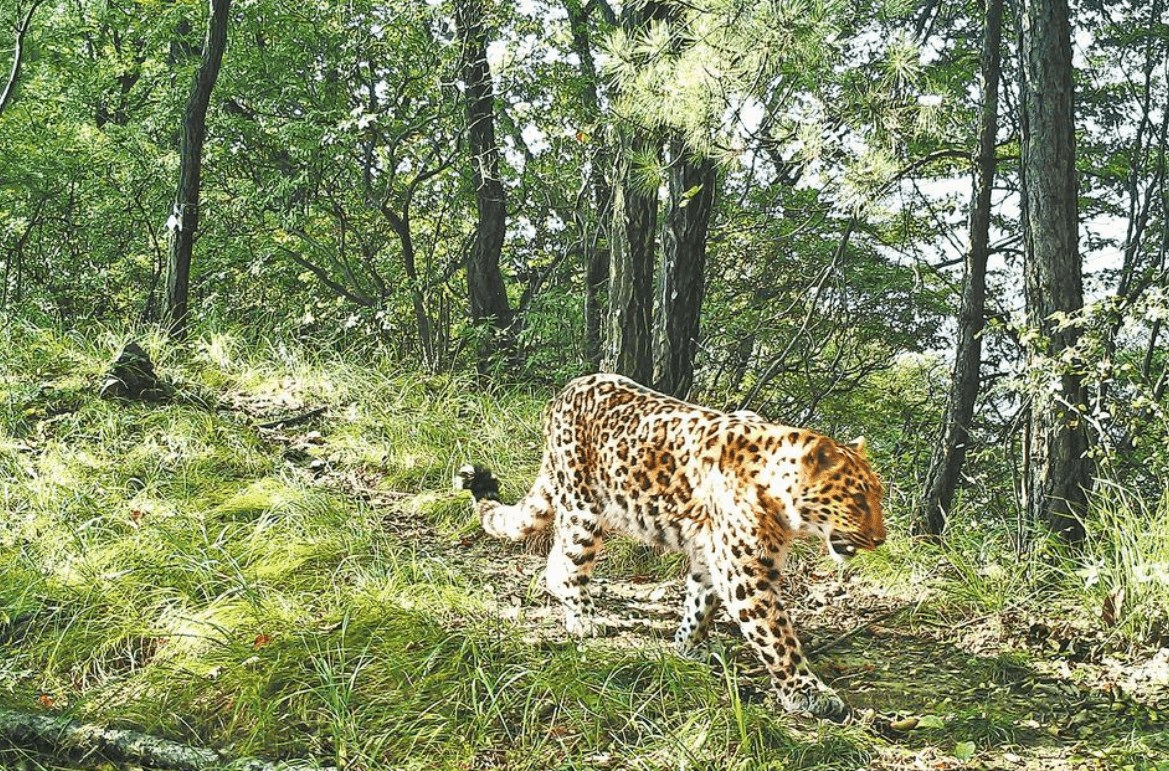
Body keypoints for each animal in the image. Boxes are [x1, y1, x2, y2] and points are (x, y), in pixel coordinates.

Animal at [455, 371, 883, 719]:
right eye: (858, 499)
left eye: (877, 495)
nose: (879, 540)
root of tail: (565, 391)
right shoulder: (745, 573)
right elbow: (776, 636)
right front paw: (808, 692)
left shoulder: (712, 556)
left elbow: (700, 602)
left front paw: (688, 647)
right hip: (583, 507)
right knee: (564, 564)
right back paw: (585, 618)